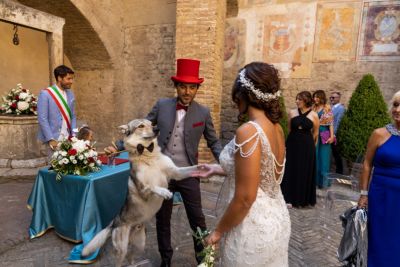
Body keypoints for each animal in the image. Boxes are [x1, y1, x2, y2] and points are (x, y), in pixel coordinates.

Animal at [81, 119, 200, 267]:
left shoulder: (176, 172)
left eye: (152, 123)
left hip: (140, 244)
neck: (147, 154)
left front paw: (212, 167)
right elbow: (153, 186)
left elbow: (193, 168)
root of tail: (114, 222)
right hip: (122, 249)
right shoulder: (143, 189)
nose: (157, 129)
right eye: (141, 126)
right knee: (120, 261)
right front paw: (165, 192)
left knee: (131, 257)